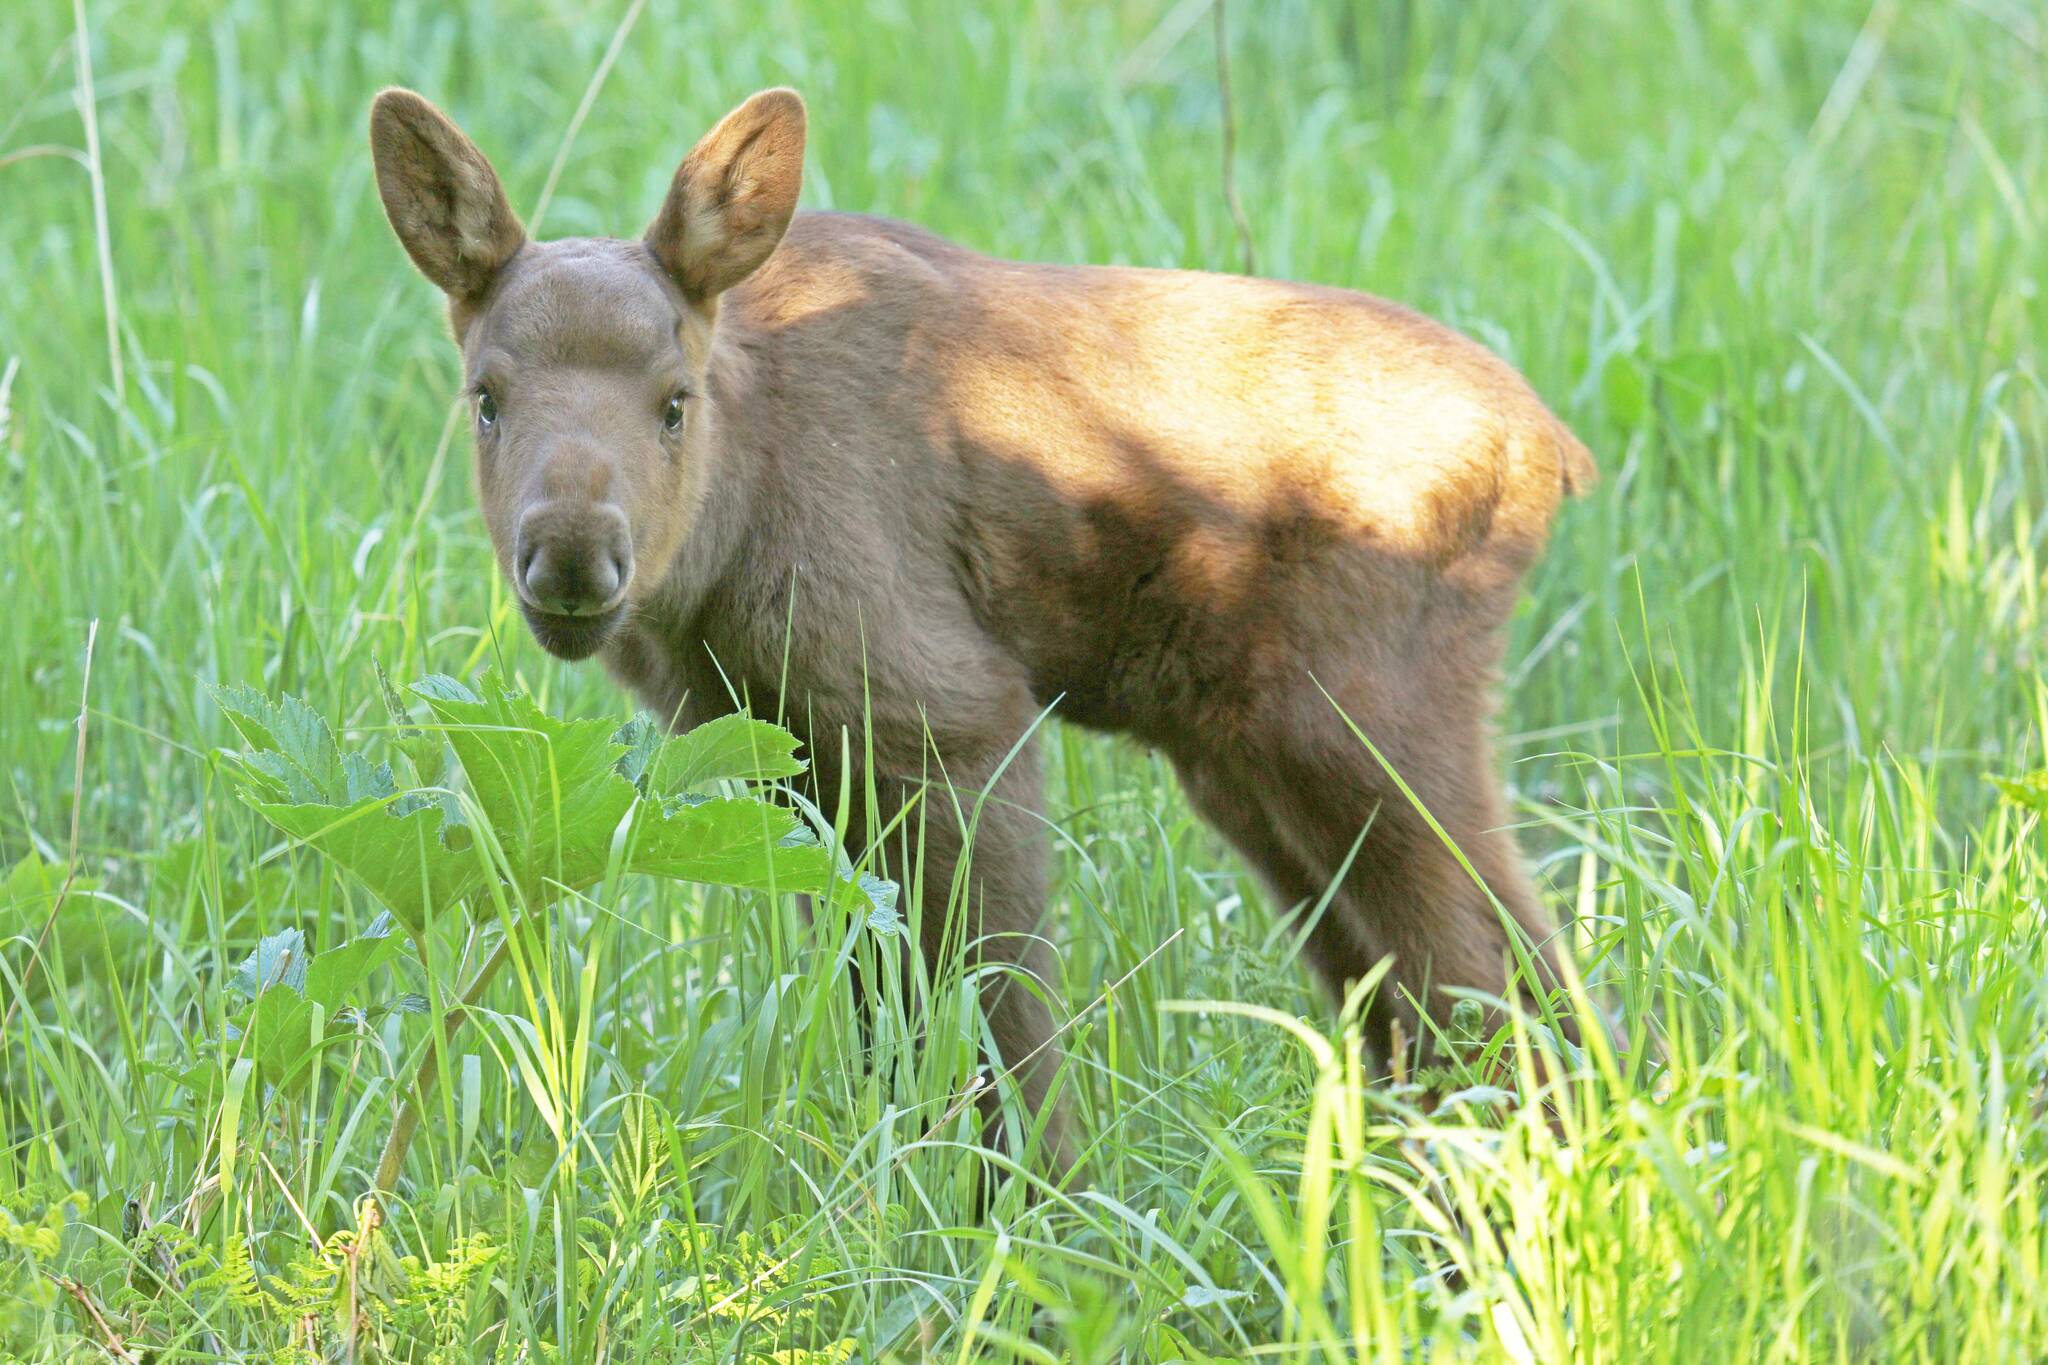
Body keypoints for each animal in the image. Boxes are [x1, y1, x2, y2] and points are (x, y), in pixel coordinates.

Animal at [372, 87, 1597, 1178]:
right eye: (486, 397)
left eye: (675, 400)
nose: (573, 556)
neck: (731, 537)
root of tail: (1553, 451)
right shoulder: (795, 763)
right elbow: (887, 1008)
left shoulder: (951, 714)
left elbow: (992, 1010)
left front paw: (1033, 1216)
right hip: (1250, 763)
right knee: (1429, 991)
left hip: (1364, 718)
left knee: (1495, 971)